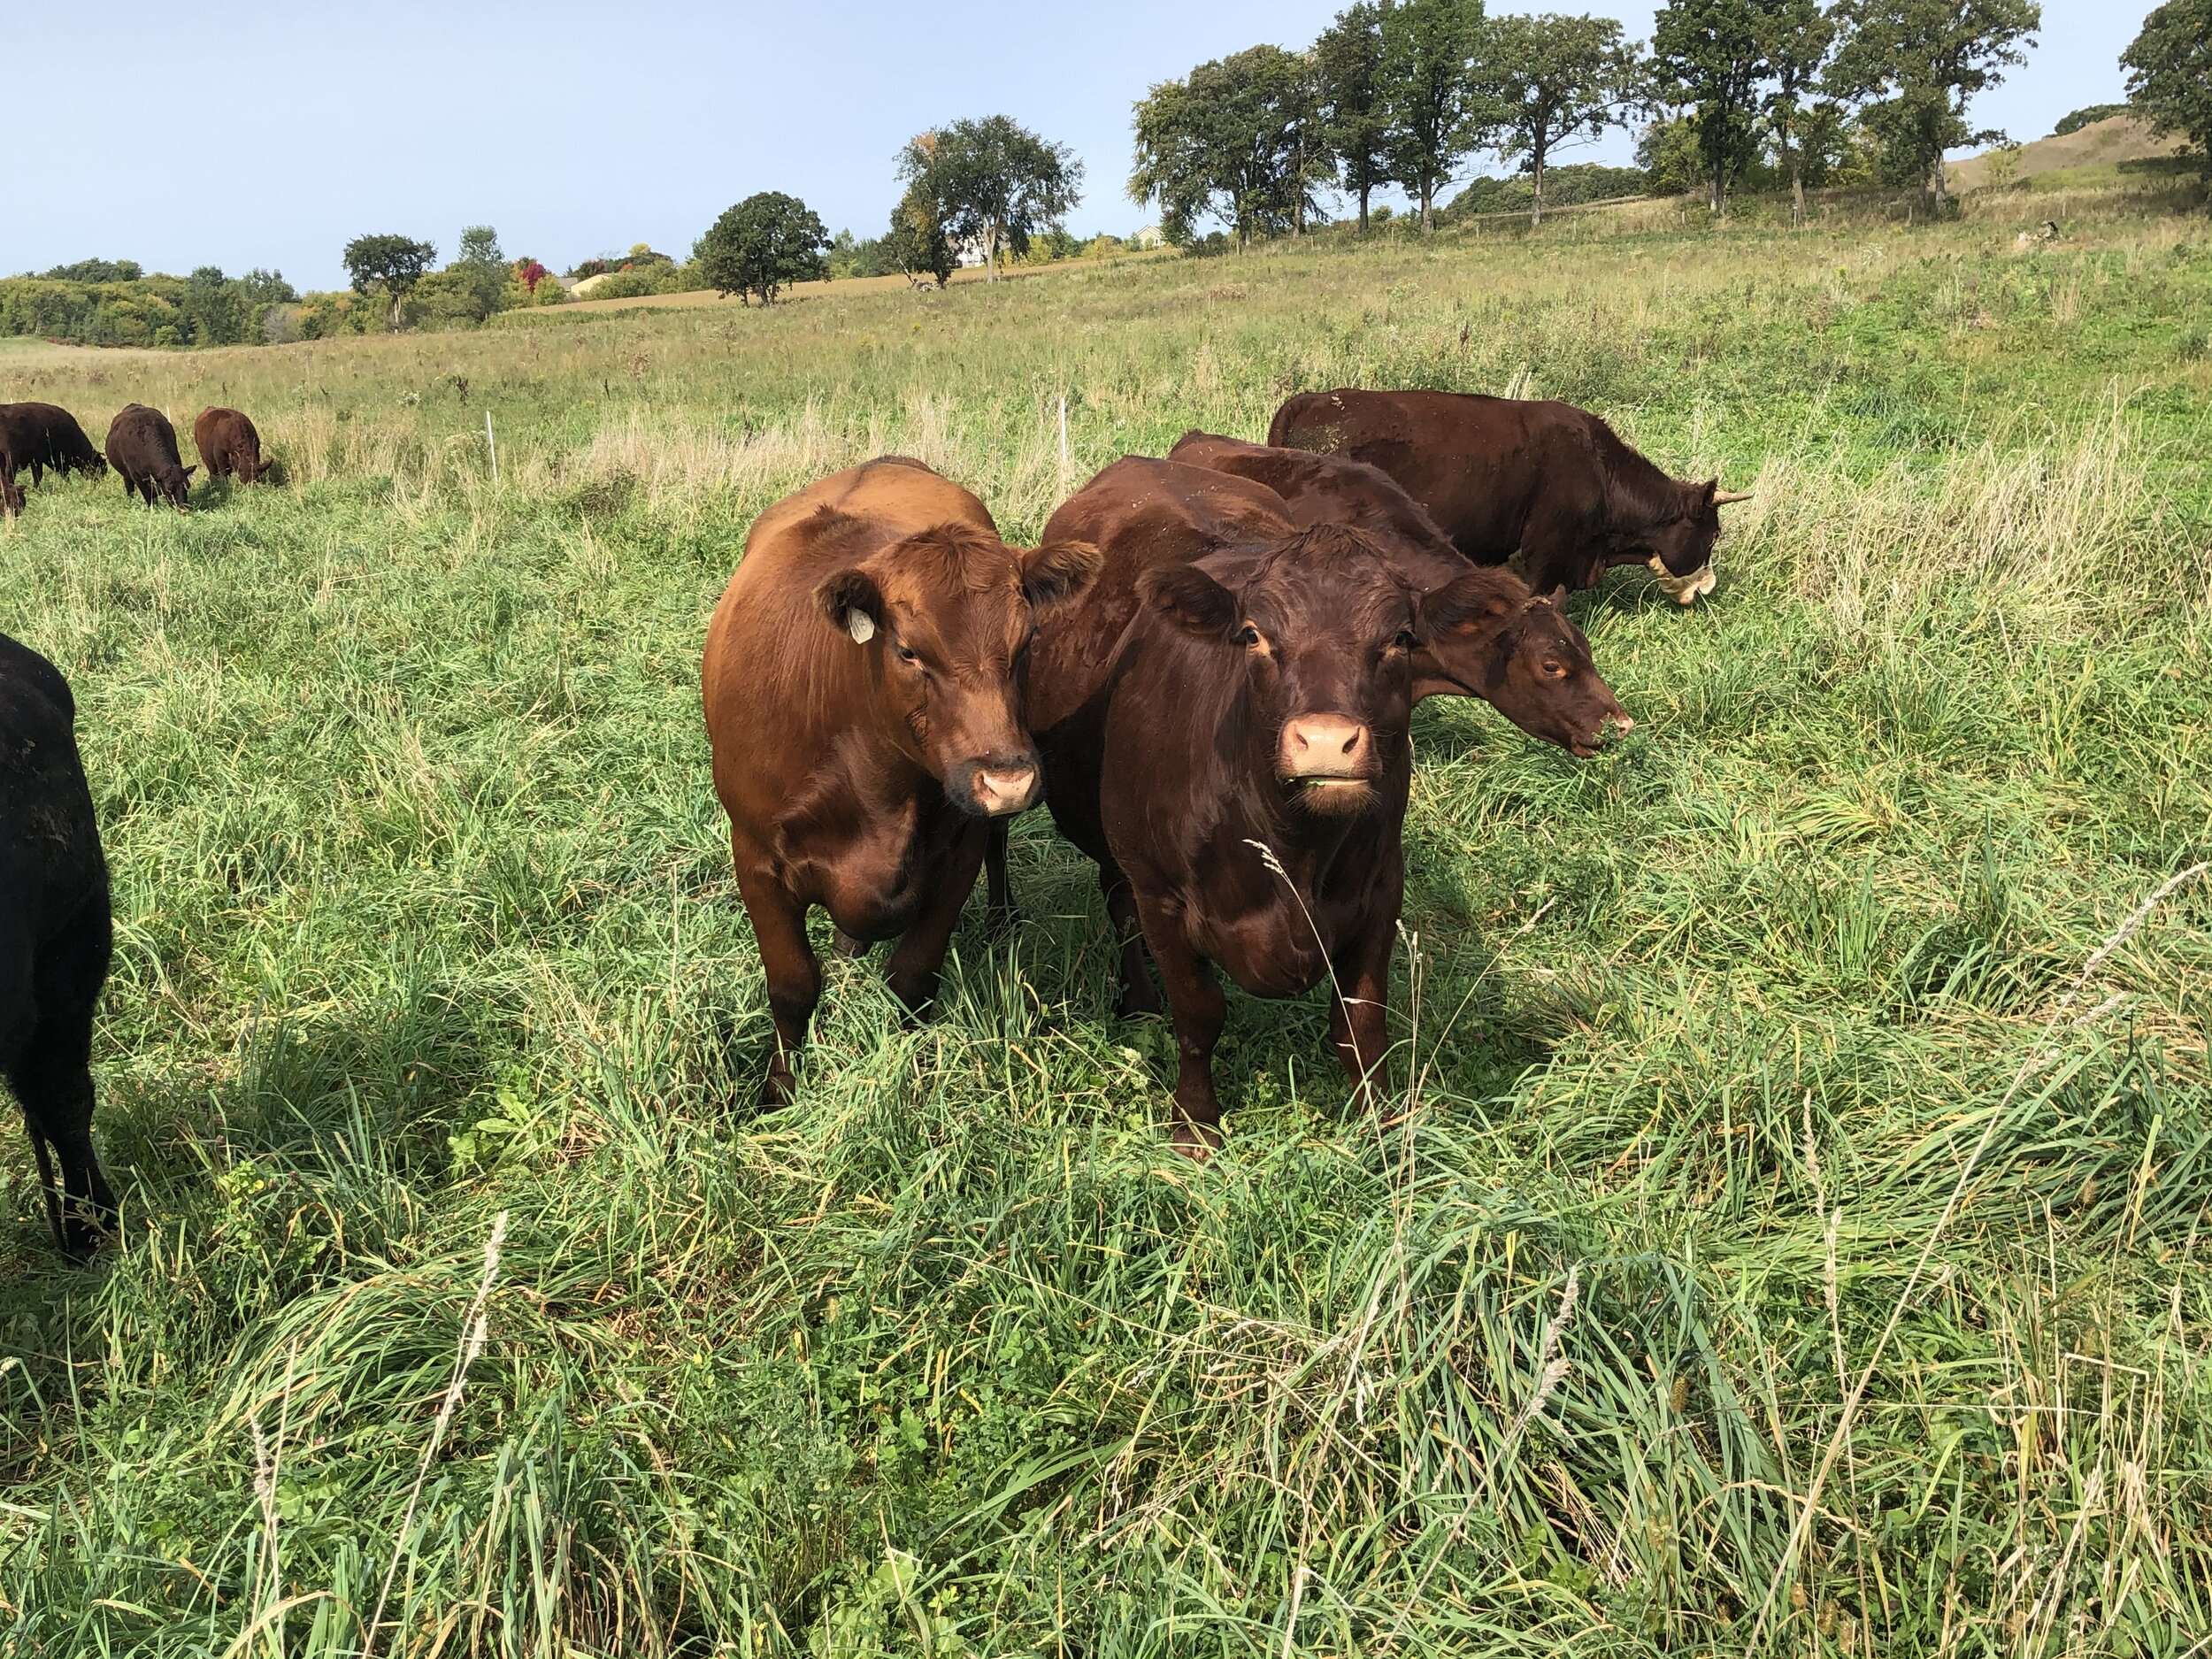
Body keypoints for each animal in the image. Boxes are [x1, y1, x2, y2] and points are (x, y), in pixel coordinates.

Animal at [702, 456, 1100, 1103]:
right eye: (909, 651)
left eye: (1027, 641)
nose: (1007, 780)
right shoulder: (756, 860)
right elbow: (792, 987)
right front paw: (778, 1094)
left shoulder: (957, 855)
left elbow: (914, 978)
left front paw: (909, 1068)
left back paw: (1002, 918)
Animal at [1013, 462, 1517, 1154]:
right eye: (1254, 636)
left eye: (1401, 638)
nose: (1326, 741)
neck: (1293, 847)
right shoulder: (1162, 895)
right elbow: (1199, 1014)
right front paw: (1195, 1127)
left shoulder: (1383, 884)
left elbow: (1362, 1023)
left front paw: (1383, 1126)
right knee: (1120, 909)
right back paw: (1138, 996)